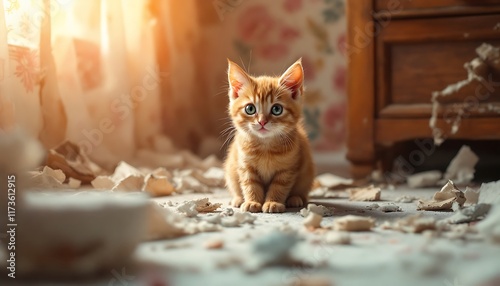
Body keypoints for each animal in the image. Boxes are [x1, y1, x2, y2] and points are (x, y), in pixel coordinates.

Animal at [225, 59, 314, 212]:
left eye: (277, 109)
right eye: (250, 109)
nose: (262, 122)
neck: (265, 147)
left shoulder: (287, 169)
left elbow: (279, 186)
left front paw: (273, 202)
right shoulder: (246, 166)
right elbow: (251, 185)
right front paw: (252, 202)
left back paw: (295, 198)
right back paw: (237, 199)